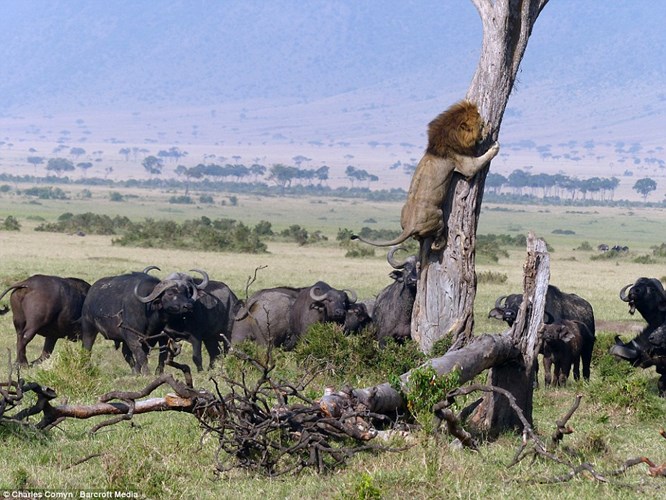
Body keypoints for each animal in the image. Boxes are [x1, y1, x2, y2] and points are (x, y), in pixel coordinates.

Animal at [351, 100, 499, 256]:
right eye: (480, 125)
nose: (487, 128)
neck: (449, 136)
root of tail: (409, 226)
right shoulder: (465, 164)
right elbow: (481, 160)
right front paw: (495, 145)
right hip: (438, 215)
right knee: (437, 236)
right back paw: (441, 243)